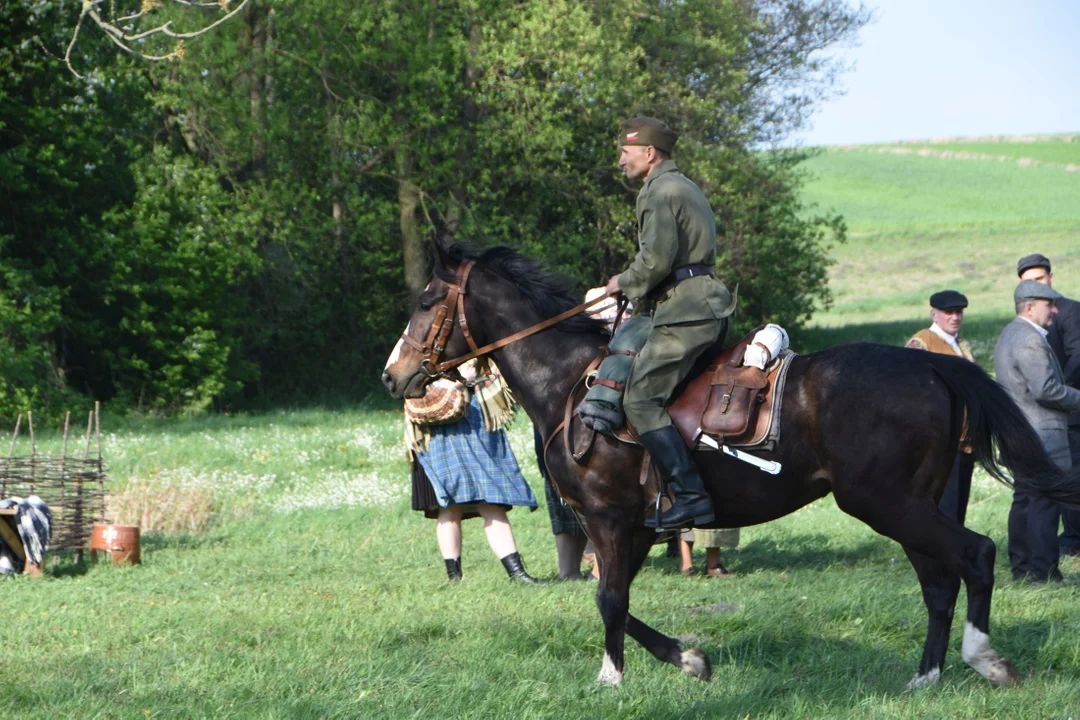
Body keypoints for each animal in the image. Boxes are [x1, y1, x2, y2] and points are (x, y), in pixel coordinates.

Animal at [382, 240, 1080, 686]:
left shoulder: (608, 519)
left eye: (426, 300)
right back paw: (925, 677)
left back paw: (985, 659)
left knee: (975, 557)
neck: (571, 385)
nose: (394, 376)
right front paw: (687, 659)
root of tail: (932, 365)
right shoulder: (637, 526)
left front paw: (611, 678)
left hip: (889, 504)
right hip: (911, 505)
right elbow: (622, 602)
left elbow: (609, 599)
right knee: (939, 582)